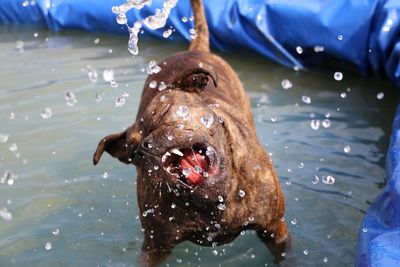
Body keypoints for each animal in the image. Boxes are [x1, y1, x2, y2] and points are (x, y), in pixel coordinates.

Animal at [93, 1, 288, 266]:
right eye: (132, 152)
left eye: (164, 112)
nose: (145, 145)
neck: (216, 203)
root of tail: (193, 49)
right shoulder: (155, 246)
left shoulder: (275, 229)